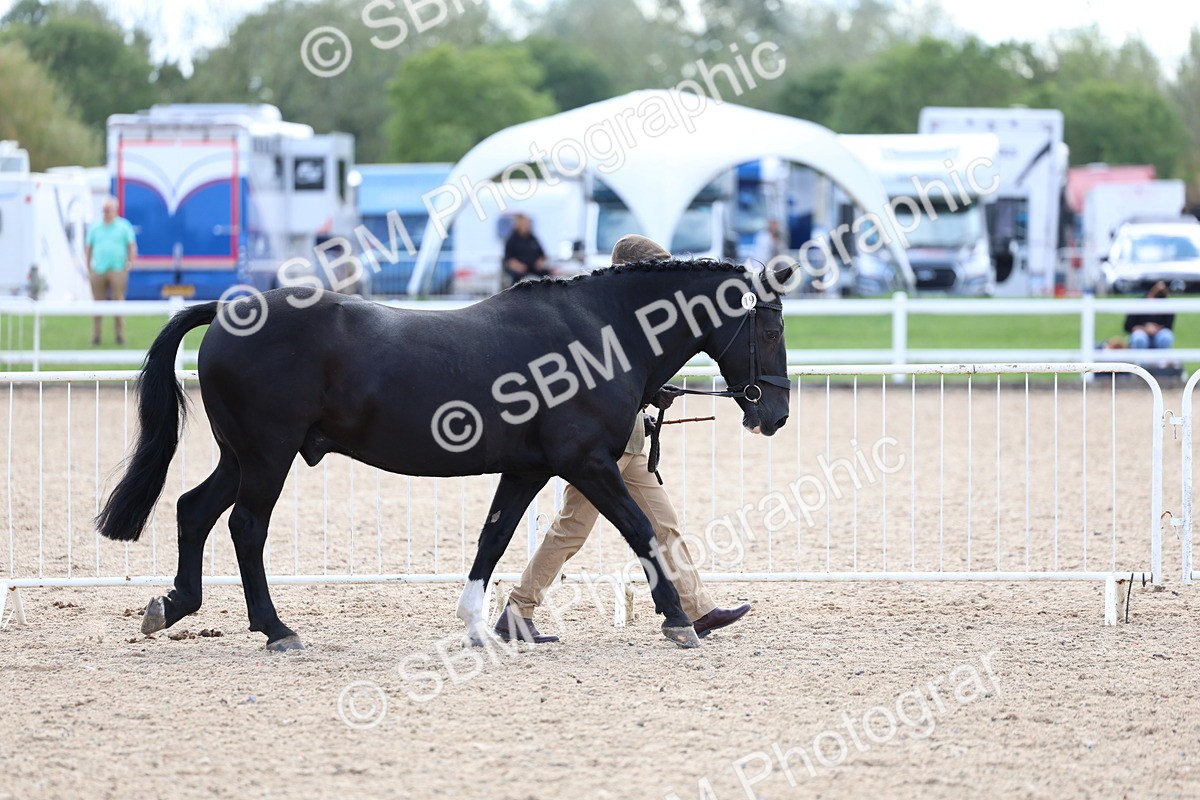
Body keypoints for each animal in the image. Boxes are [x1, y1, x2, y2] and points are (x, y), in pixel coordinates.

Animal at [96, 260, 794, 651]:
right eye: (771, 327)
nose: (775, 415)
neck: (598, 333)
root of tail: (228, 310)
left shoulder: (528, 468)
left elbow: (495, 537)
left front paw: (480, 627)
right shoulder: (588, 464)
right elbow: (642, 530)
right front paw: (679, 621)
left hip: (242, 456)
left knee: (194, 510)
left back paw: (173, 605)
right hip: (269, 456)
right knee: (245, 526)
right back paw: (277, 630)